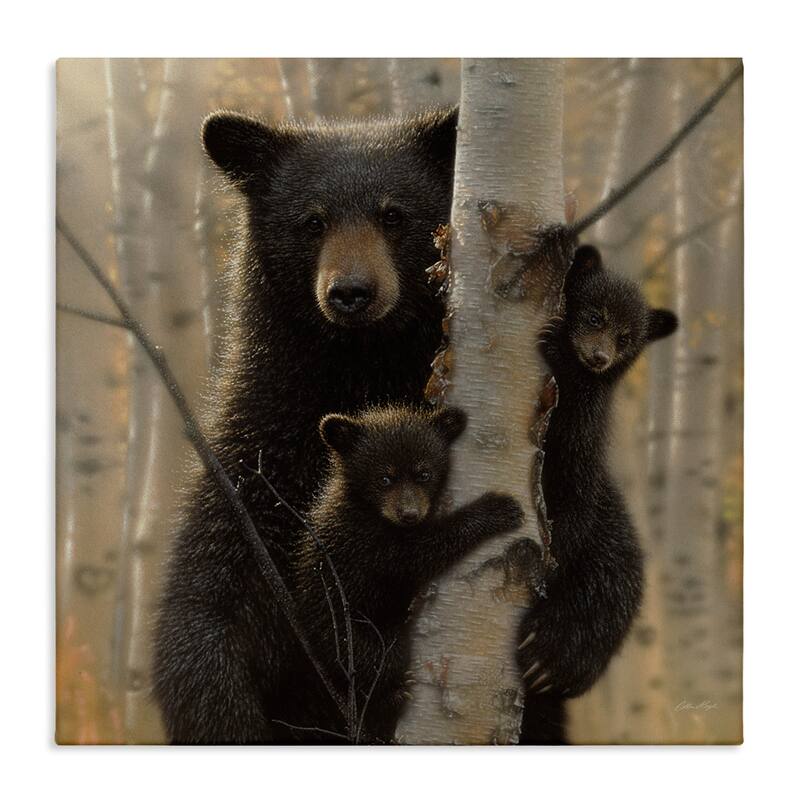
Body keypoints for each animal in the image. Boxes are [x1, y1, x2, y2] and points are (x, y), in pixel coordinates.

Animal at [152, 108, 461, 743]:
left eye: (394, 214)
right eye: (312, 221)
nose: (352, 292)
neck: (358, 372)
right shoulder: (260, 461)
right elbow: (208, 601)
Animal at [282, 404, 525, 743]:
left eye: (424, 474)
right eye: (384, 478)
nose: (409, 514)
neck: (368, 508)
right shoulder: (363, 540)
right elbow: (416, 555)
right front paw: (497, 509)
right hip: (344, 631)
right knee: (377, 660)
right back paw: (392, 695)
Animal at [517, 244, 679, 744]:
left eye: (626, 337)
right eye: (593, 315)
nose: (600, 357)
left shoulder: (580, 446)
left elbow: (572, 509)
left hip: (614, 561)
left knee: (602, 598)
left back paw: (548, 658)